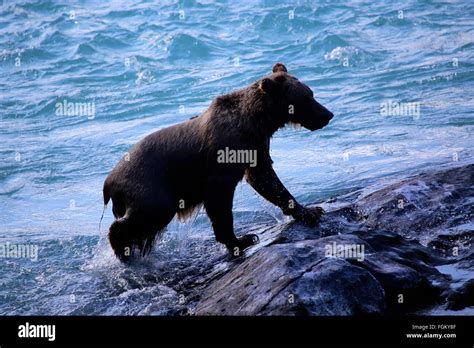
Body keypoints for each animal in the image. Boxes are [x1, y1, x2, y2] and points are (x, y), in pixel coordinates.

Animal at [103, 64, 334, 262]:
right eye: (307, 97)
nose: (328, 114)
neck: (256, 122)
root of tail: (108, 183)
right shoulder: (221, 161)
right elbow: (220, 201)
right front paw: (243, 240)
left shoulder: (256, 147)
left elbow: (267, 180)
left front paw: (310, 211)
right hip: (150, 185)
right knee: (149, 213)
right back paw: (122, 249)